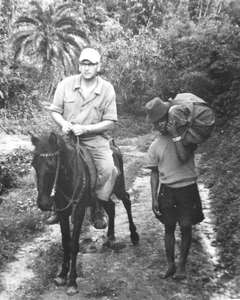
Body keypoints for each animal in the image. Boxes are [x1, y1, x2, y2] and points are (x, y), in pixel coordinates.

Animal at [30, 132, 139, 296]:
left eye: (51, 166)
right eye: (34, 165)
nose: (43, 204)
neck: (68, 177)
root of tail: (114, 147)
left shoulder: (79, 211)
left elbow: (74, 245)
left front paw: (72, 281)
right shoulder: (62, 212)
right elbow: (65, 243)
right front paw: (62, 275)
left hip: (118, 187)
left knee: (127, 202)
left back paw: (134, 235)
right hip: (104, 195)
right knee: (111, 207)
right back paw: (110, 236)